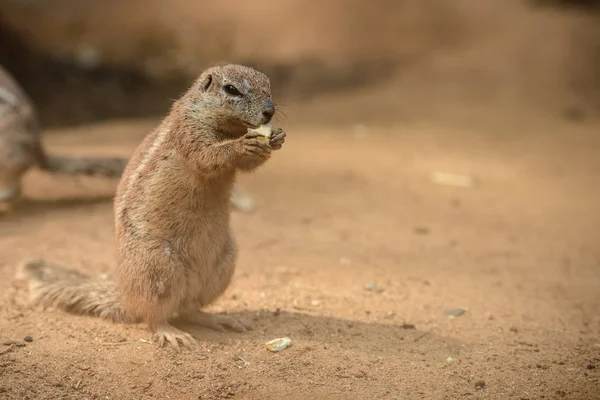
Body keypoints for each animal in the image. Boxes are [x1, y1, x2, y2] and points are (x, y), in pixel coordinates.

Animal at [17, 65, 288, 350]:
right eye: (231, 89)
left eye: (268, 85)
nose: (269, 111)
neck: (227, 127)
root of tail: (126, 299)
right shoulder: (188, 133)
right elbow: (208, 157)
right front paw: (244, 145)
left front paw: (277, 138)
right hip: (157, 268)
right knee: (154, 316)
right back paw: (172, 333)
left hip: (223, 264)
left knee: (190, 310)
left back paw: (217, 319)